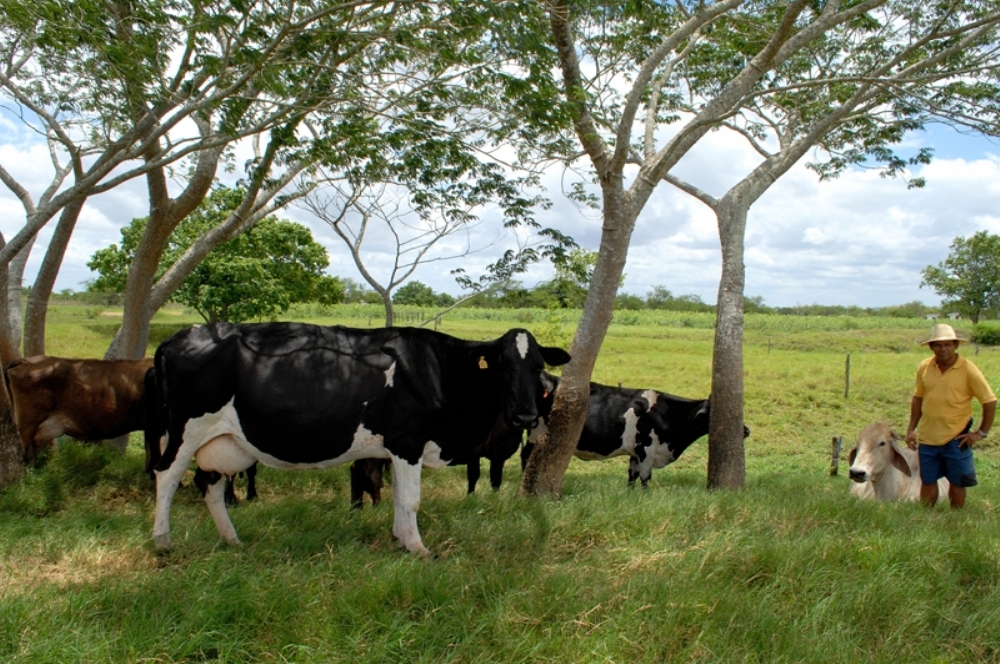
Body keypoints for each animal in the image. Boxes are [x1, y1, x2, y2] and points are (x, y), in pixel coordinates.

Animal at [148, 322, 570, 555]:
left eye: (538, 366)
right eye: (502, 365)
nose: (526, 415)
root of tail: (185, 334)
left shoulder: (398, 448)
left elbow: (399, 498)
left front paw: (401, 540)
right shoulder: (407, 441)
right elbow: (411, 499)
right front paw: (419, 548)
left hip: (223, 441)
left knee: (209, 483)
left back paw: (231, 539)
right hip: (186, 430)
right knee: (166, 476)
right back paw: (162, 542)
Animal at [521, 373, 749, 488]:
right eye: (713, 413)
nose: (746, 431)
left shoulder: (636, 452)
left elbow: (632, 476)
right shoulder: (647, 448)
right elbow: (646, 478)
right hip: (537, 432)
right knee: (526, 455)